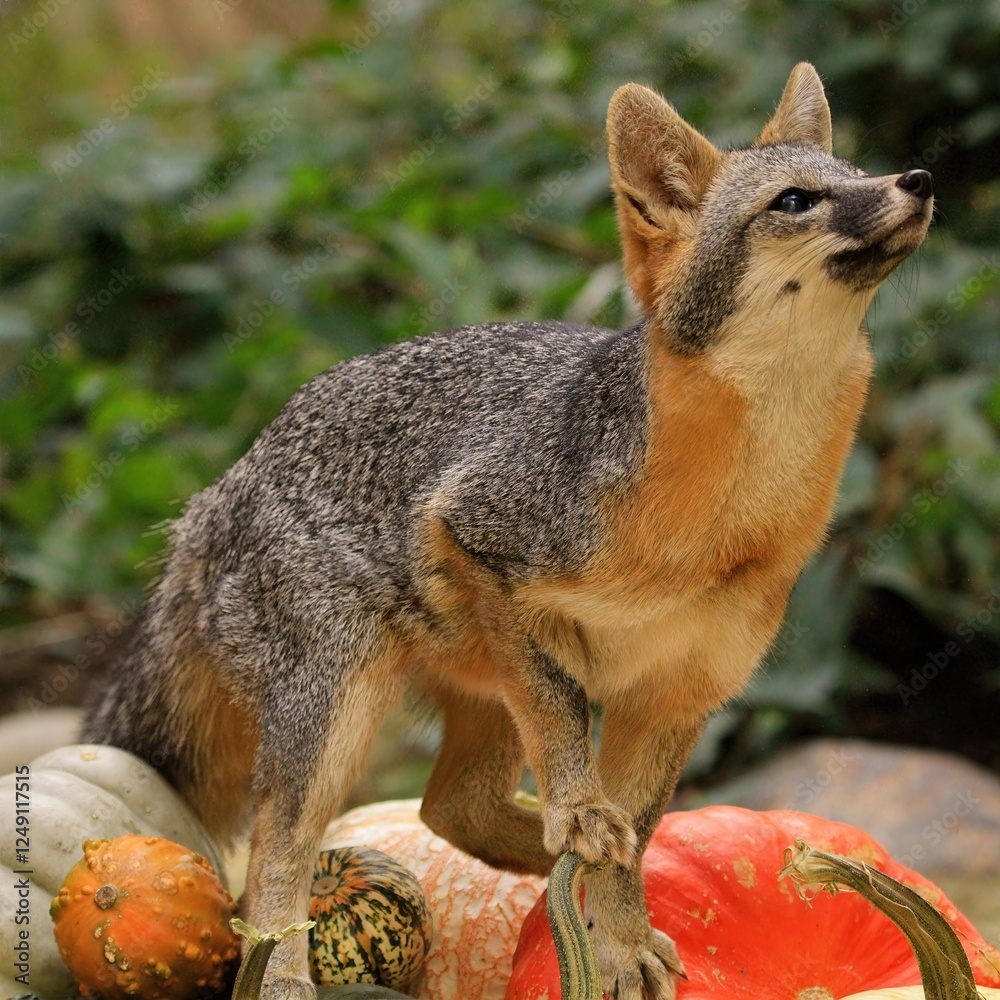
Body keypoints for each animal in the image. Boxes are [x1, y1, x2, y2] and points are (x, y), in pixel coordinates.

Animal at [83, 63, 933, 1000]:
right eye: (795, 201)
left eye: (856, 172)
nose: (919, 179)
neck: (717, 521)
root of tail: (223, 486)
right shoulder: (483, 540)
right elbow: (566, 731)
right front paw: (591, 863)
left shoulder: (676, 693)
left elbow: (625, 840)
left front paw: (618, 941)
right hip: (343, 710)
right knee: (279, 850)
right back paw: (295, 973)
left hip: (479, 689)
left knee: (453, 809)